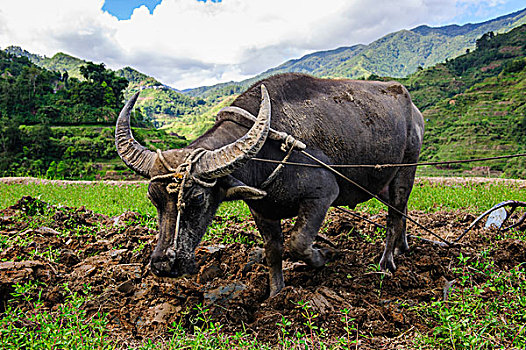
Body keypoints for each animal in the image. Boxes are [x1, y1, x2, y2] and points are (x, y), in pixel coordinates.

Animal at [115, 72, 424, 296]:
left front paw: (324, 254)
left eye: (198, 199)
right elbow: (273, 251)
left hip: (406, 170)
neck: (267, 151)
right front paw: (276, 294)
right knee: (403, 211)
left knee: (395, 214)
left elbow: (298, 243)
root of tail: (413, 109)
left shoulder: (321, 197)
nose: (163, 264)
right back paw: (402, 247)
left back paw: (387, 263)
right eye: (153, 198)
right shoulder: (261, 209)